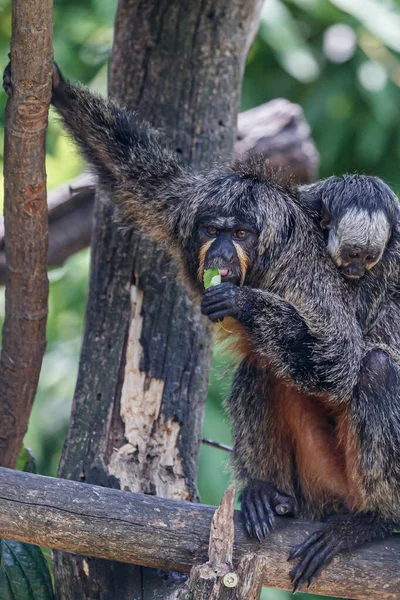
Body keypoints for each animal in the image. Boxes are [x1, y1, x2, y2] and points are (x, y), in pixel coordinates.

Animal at [4, 62, 400, 592]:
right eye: (214, 230)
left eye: (241, 234)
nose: (221, 254)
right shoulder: (184, 210)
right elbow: (137, 177)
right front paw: (55, 87)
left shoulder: (303, 269)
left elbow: (339, 362)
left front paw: (243, 303)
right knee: (262, 366)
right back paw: (269, 495)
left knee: (372, 368)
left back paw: (375, 520)